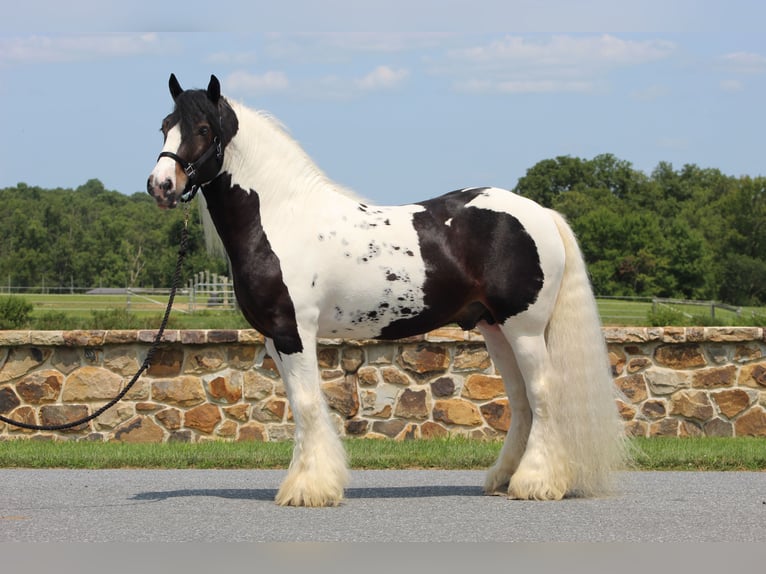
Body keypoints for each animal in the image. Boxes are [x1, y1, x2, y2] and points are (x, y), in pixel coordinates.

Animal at [147, 73, 628, 508]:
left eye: (203, 129)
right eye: (165, 125)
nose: (161, 186)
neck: (281, 218)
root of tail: (541, 213)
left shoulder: (293, 333)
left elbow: (307, 404)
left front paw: (308, 490)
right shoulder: (274, 338)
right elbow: (301, 408)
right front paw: (308, 482)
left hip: (523, 328)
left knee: (543, 392)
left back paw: (536, 484)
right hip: (495, 328)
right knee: (521, 399)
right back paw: (504, 478)